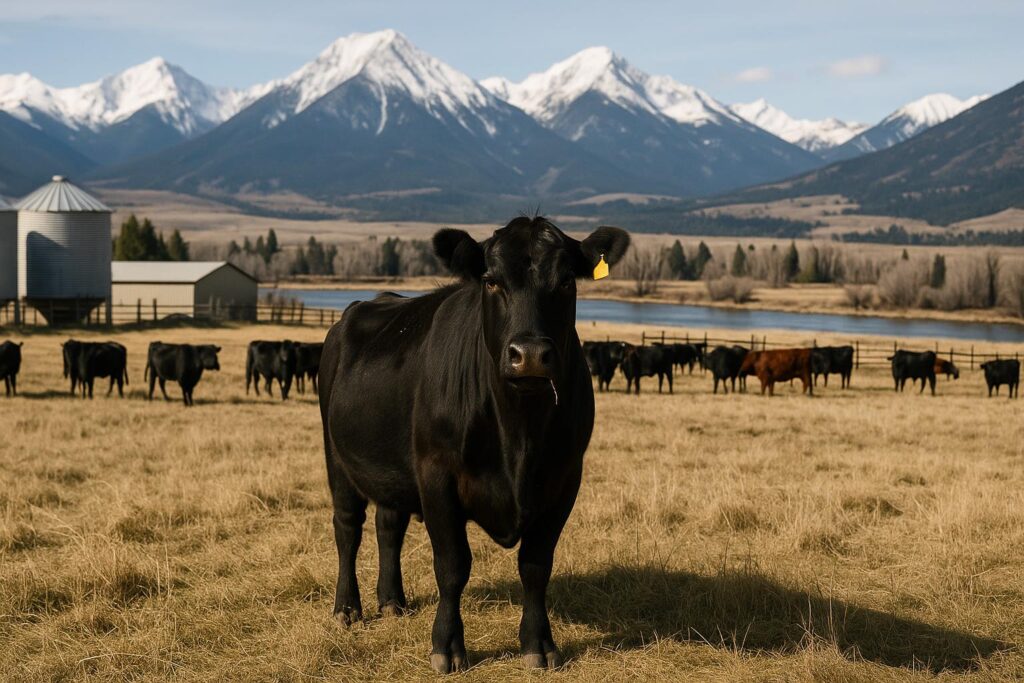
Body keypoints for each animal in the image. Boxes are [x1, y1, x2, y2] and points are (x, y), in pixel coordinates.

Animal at [318, 217, 630, 673]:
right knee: (347, 528)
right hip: (337, 458)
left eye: (567, 281)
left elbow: (536, 565)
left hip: (392, 468)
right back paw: (347, 608)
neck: (519, 435)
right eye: (491, 280)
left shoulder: (564, 478)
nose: (529, 354)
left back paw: (392, 601)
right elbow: (452, 565)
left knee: (388, 524)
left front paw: (538, 644)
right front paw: (446, 646)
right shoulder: (436, 475)